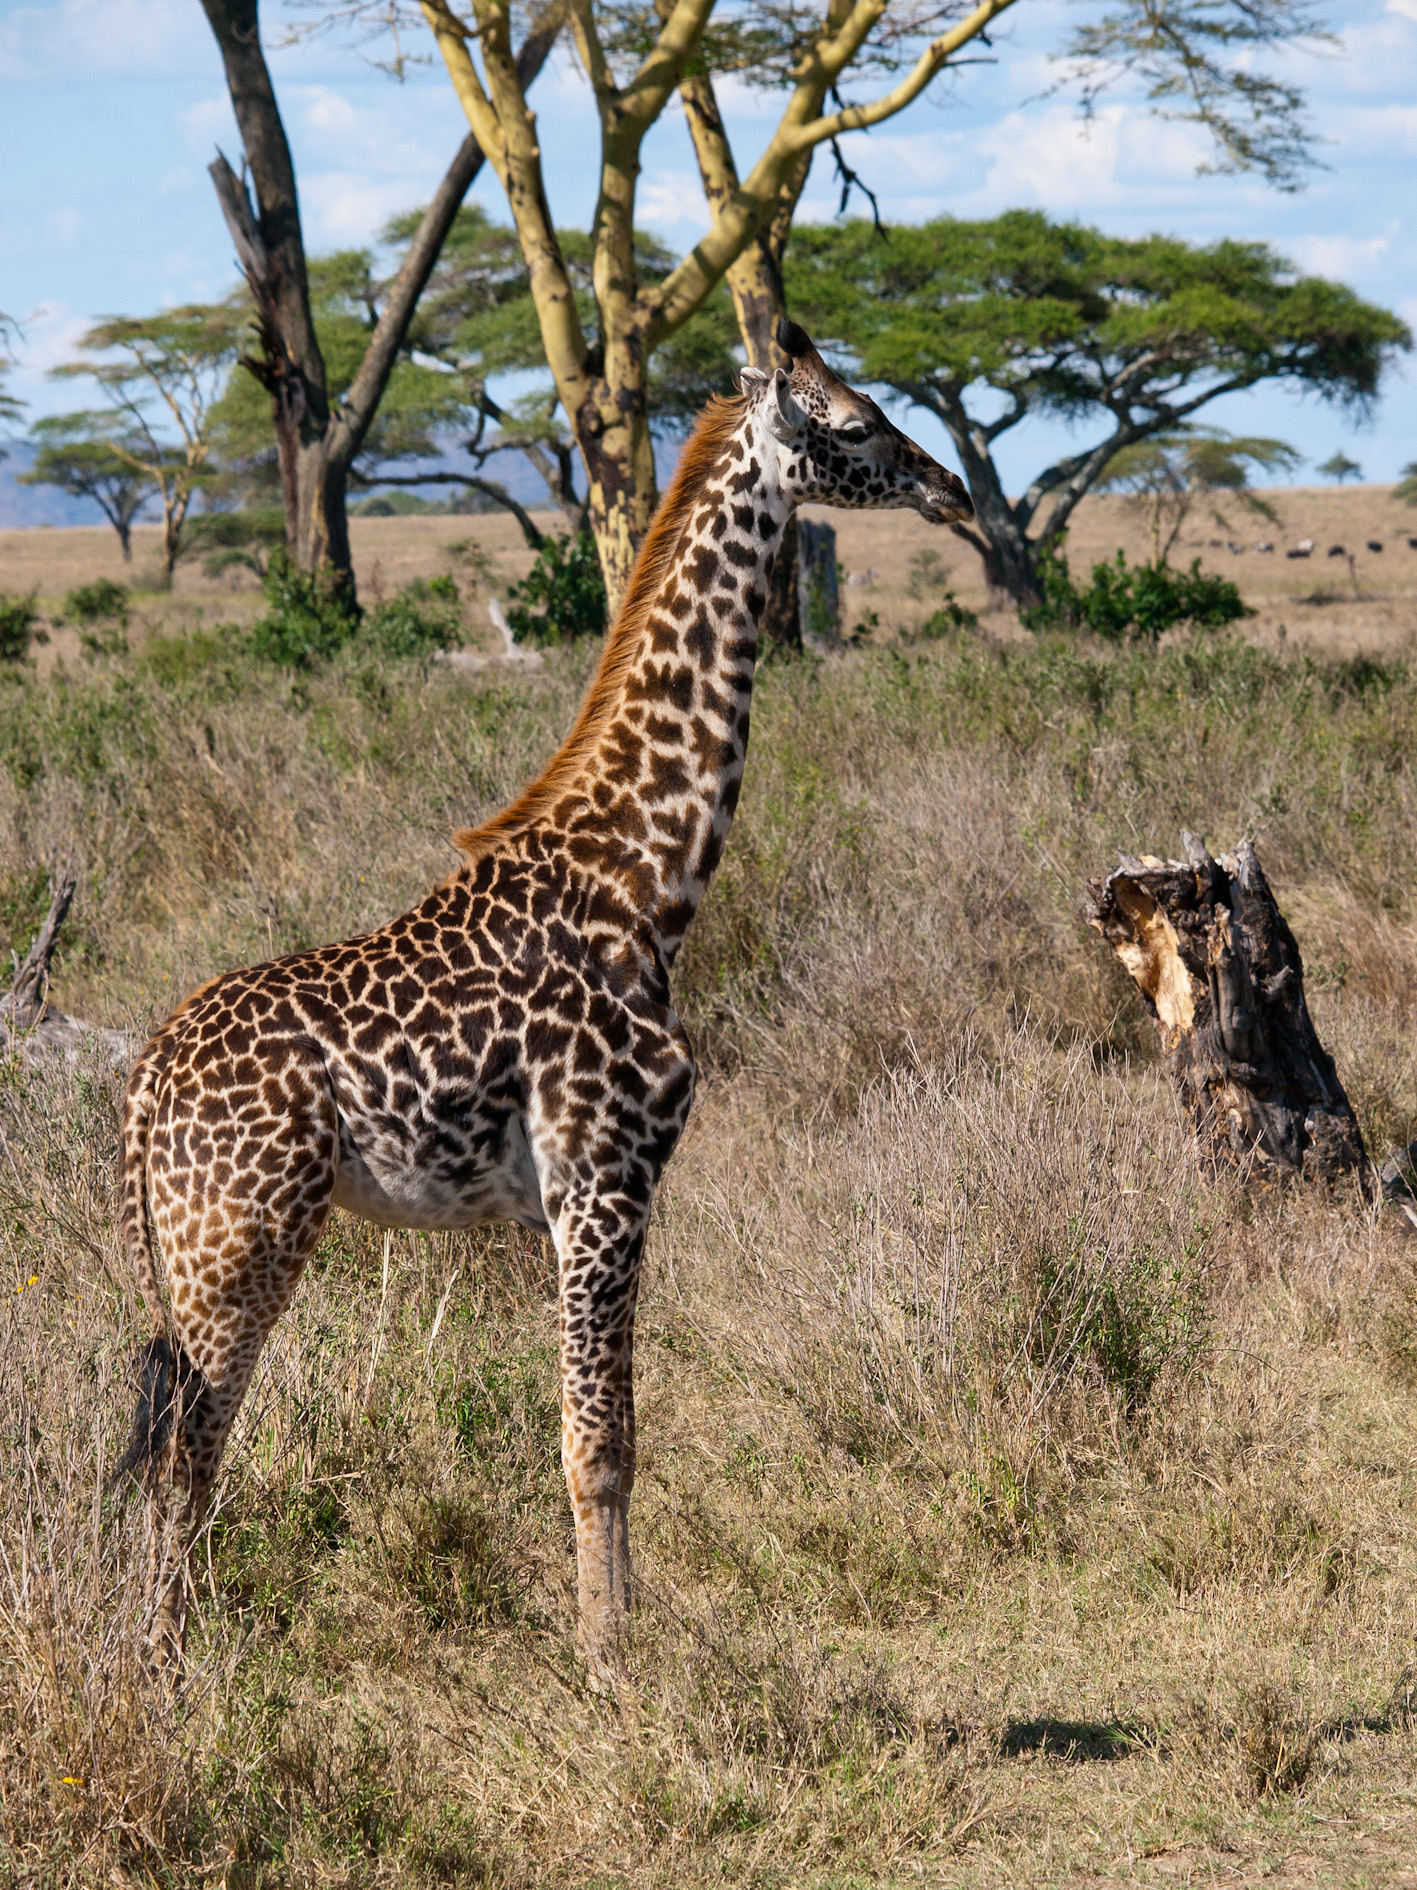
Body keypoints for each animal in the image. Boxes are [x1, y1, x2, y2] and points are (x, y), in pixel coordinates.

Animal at [116, 320, 973, 1664]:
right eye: (852, 421)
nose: (951, 490)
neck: (643, 880)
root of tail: (146, 1080)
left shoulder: (566, 1206)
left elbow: (603, 1433)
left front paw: (615, 1640)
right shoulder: (603, 1178)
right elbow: (598, 1444)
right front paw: (612, 1665)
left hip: (194, 1247)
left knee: (176, 1444)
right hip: (239, 1237)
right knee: (184, 1451)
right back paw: (169, 1666)